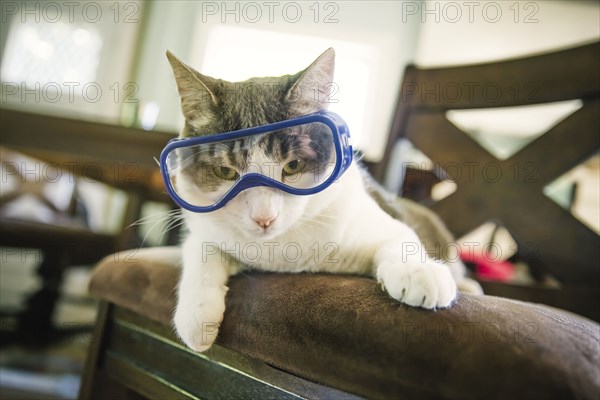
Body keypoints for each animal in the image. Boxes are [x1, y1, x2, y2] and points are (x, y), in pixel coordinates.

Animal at [165, 48, 482, 352]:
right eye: (226, 171)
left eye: (293, 166)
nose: (264, 218)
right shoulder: (208, 229)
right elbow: (201, 250)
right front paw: (196, 318)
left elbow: (400, 238)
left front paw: (418, 271)